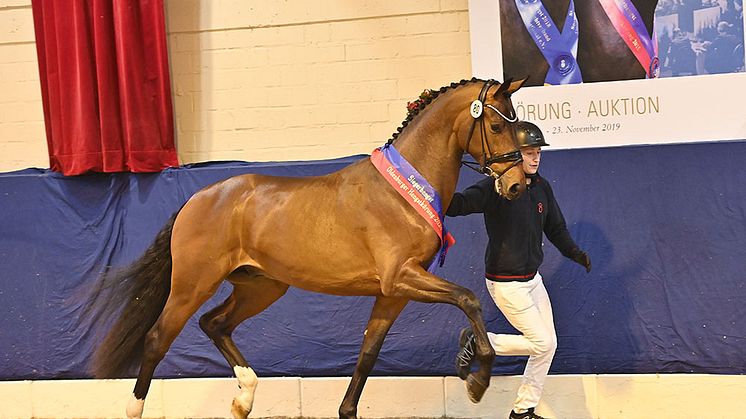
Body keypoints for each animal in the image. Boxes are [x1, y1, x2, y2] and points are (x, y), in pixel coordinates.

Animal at [84, 77, 528, 418]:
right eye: (497, 126)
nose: (516, 185)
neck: (403, 191)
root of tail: (198, 198)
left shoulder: (393, 293)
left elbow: (368, 354)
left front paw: (347, 410)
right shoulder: (402, 277)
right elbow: (468, 298)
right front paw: (477, 379)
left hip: (261, 286)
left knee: (215, 324)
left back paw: (244, 398)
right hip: (193, 284)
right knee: (158, 338)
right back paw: (137, 408)